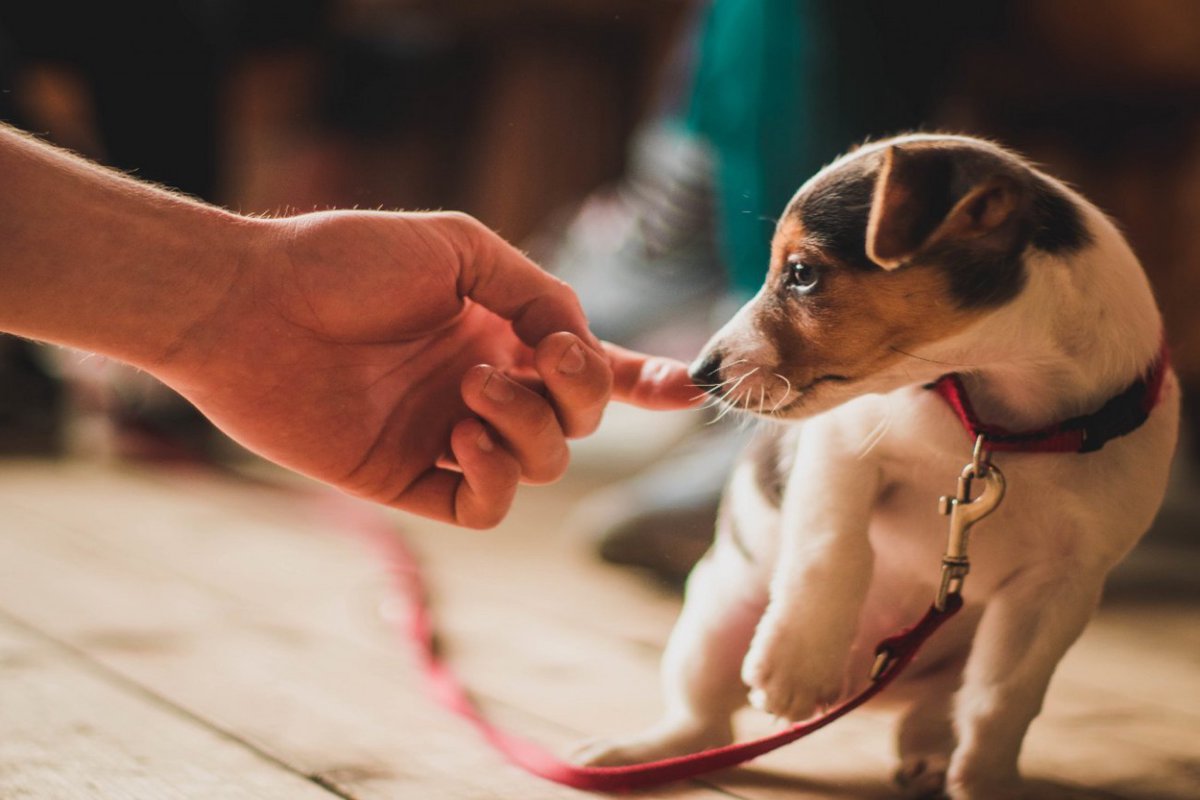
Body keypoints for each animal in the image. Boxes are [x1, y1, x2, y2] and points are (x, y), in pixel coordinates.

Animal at [576, 134, 1176, 796]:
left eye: (803, 274)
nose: (699, 373)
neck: (1000, 428)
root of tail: (877, 691)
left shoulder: (1061, 584)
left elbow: (1002, 701)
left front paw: (987, 782)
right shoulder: (841, 445)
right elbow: (834, 549)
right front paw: (799, 664)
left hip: (948, 669)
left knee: (936, 715)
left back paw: (931, 760)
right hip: (713, 622)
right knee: (703, 722)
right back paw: (635, 755)